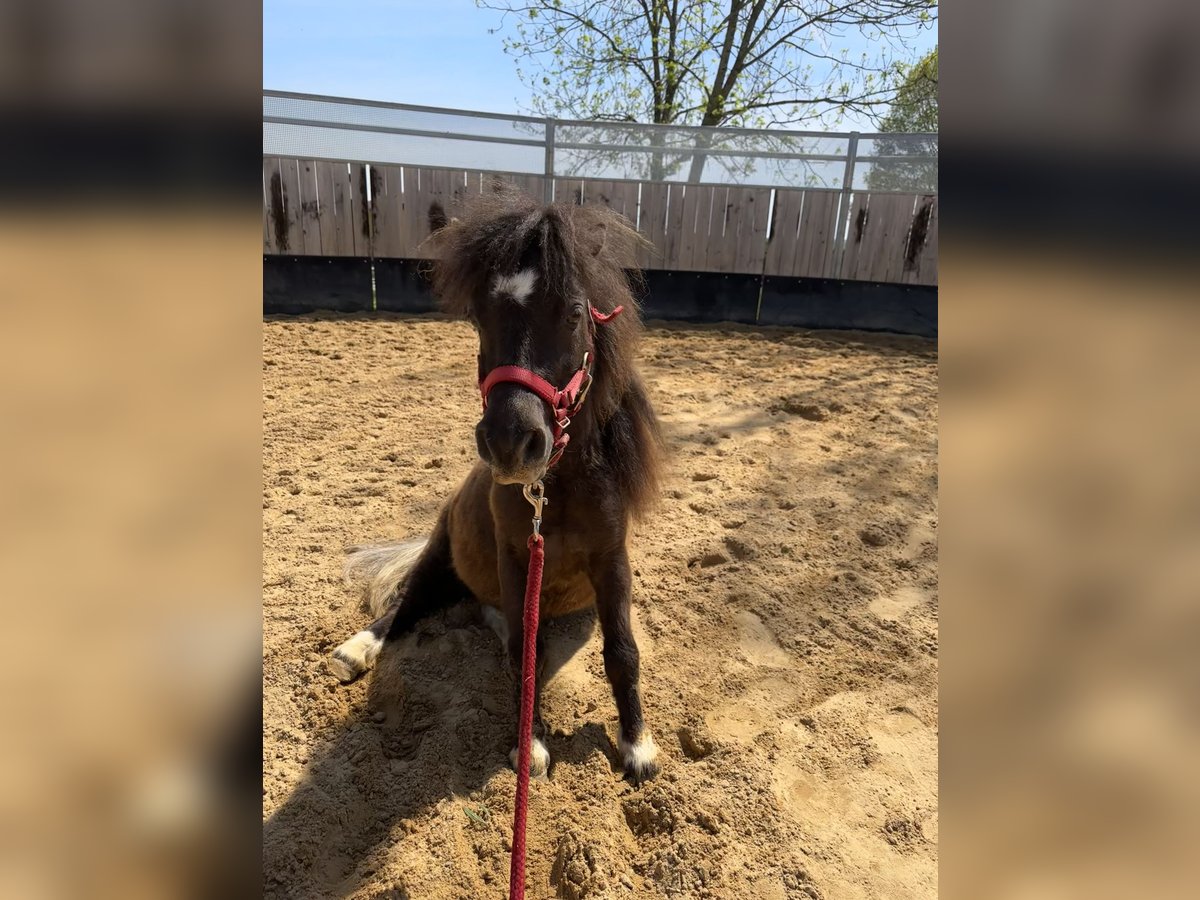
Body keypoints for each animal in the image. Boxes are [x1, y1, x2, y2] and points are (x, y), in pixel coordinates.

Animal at [328, 188, 667, 782]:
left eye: (574, 312)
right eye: (478, 317)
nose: (511, 444)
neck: (555, 492)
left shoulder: (612, 560)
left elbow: (623, 652)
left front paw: (637, 746)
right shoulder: (516, 558)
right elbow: (525, 656)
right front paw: (528, 747)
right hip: (438, 557)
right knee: (405, 608)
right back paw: (357, 650)